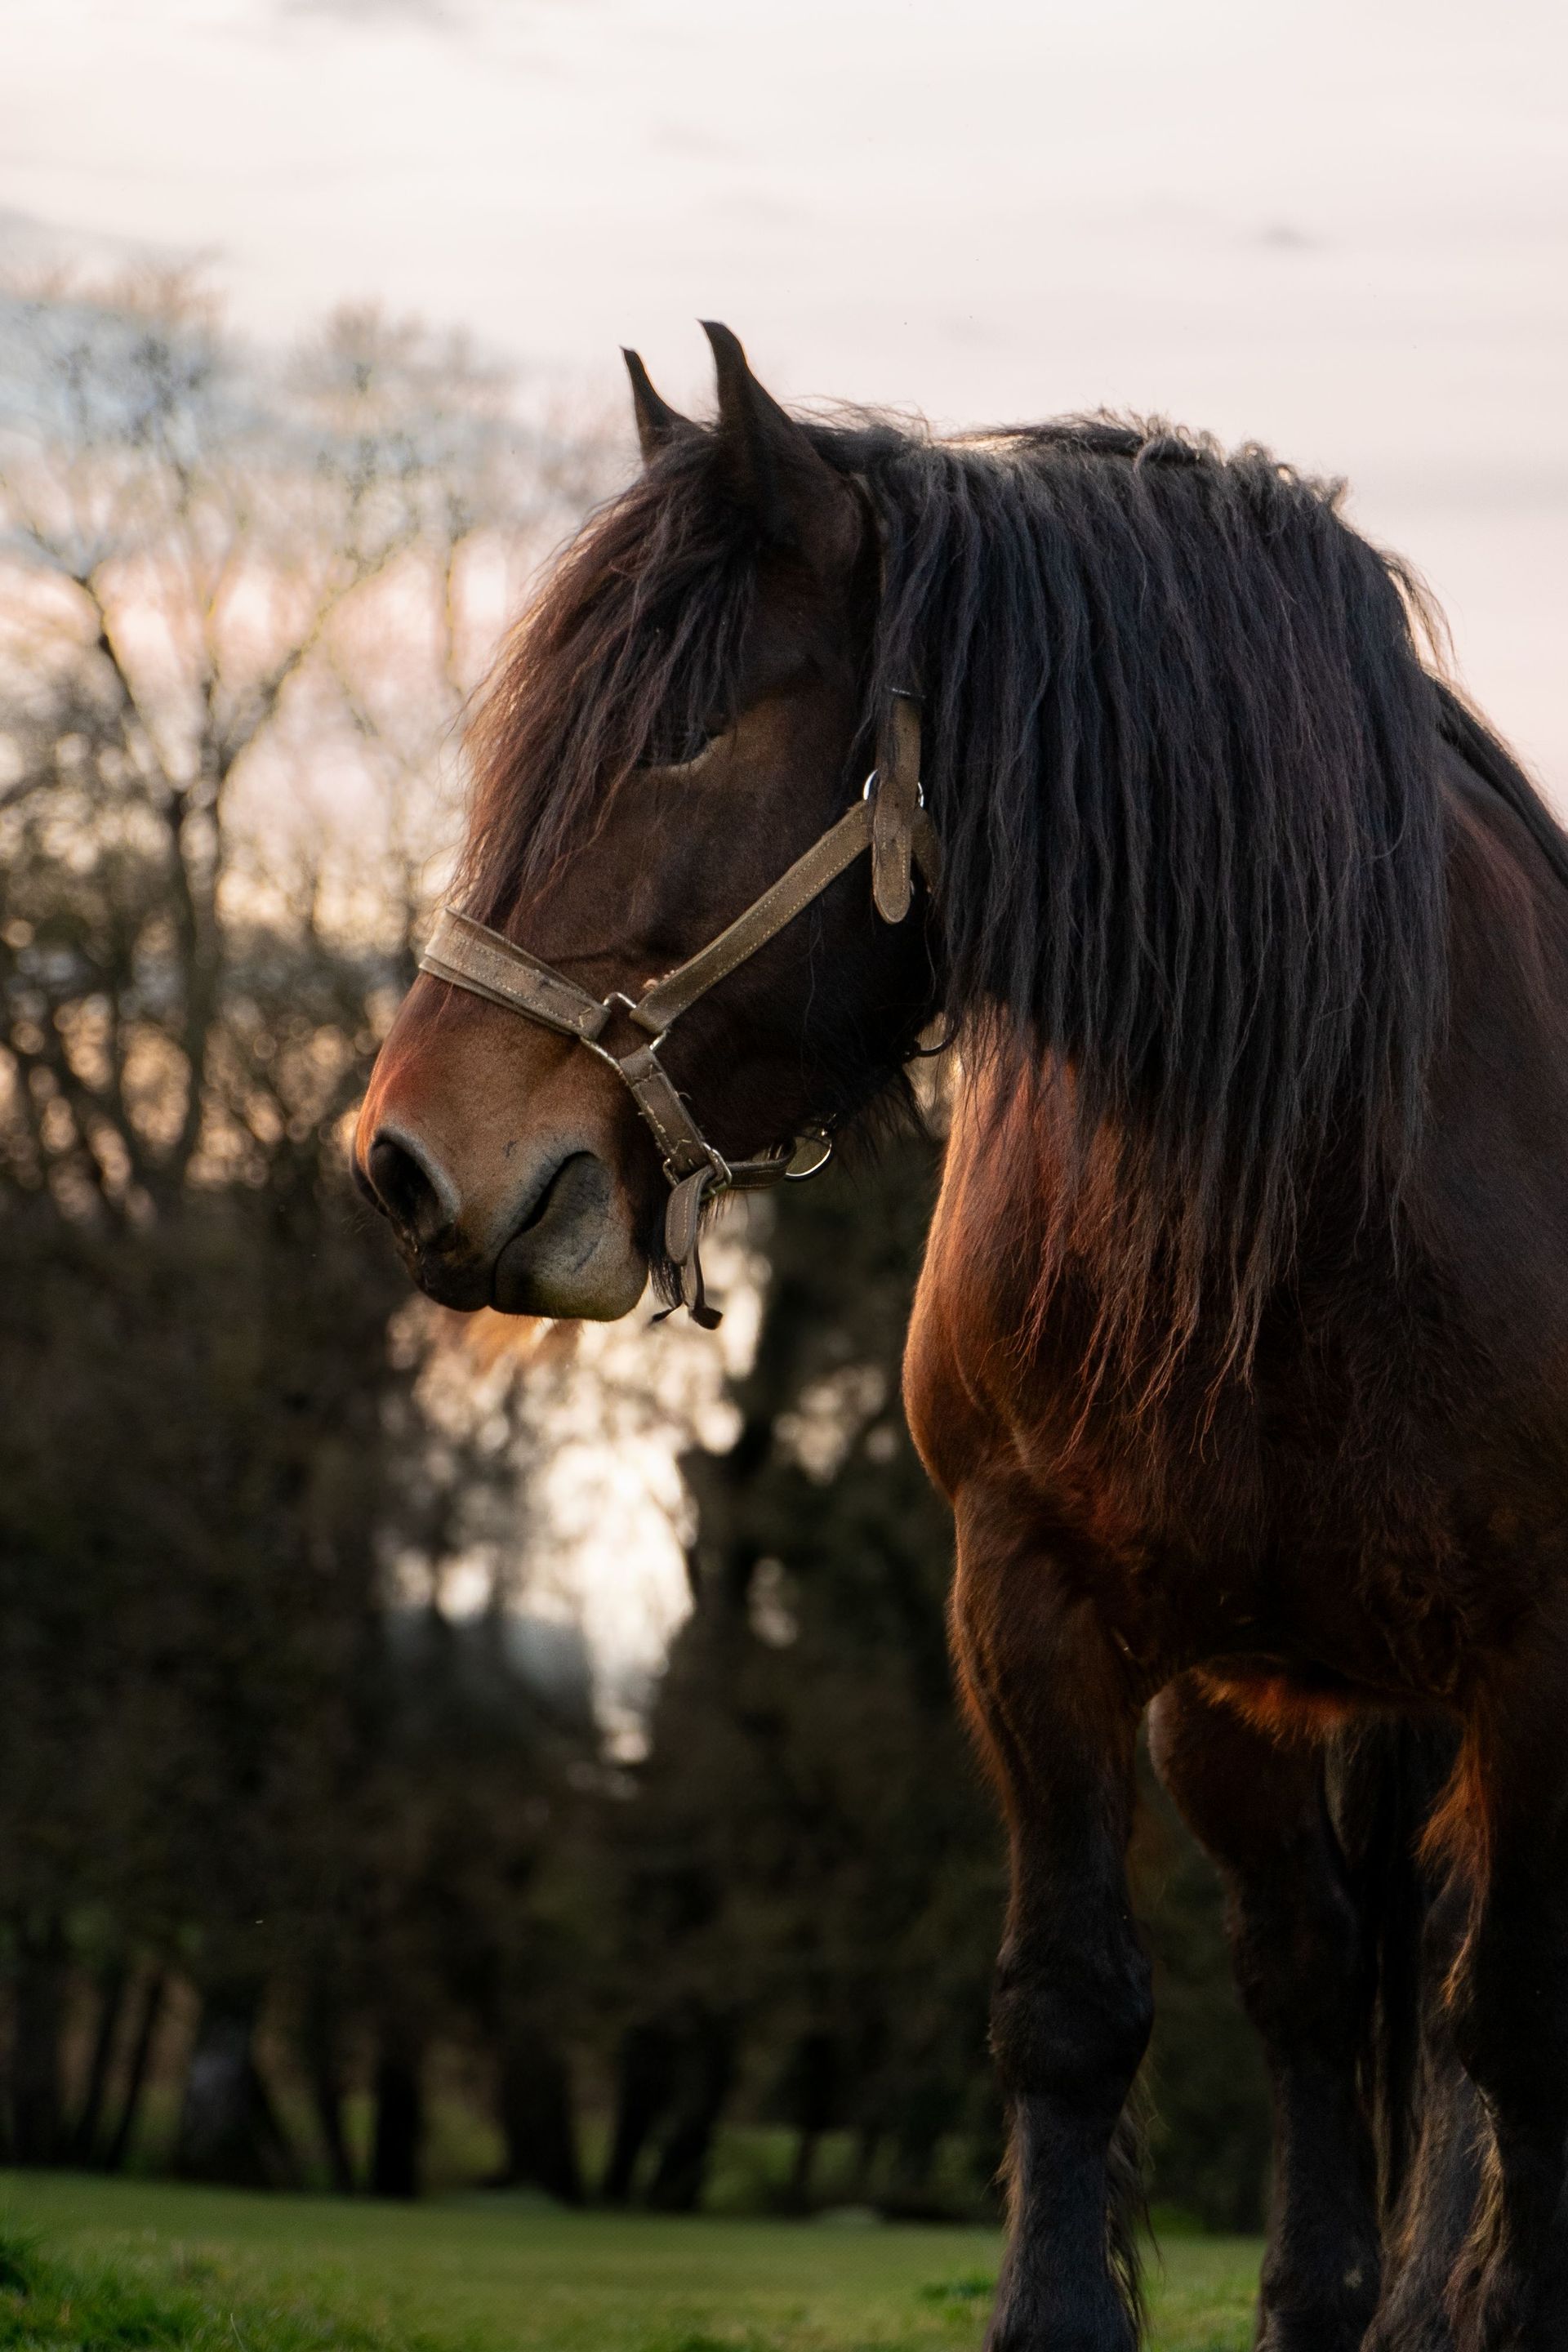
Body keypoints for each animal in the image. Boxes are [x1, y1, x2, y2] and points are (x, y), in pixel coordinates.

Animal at [354, 323, 1568, 2351]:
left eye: (690, 730)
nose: (410, 1162)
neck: (1316, 1187)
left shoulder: (1538, 1654)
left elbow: (1511, 2031)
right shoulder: (1034, 1604)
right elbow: (1074, 2011)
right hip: (1242, 1710)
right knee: (1315, 1975)